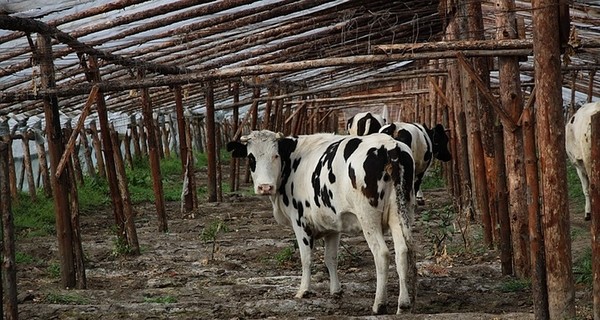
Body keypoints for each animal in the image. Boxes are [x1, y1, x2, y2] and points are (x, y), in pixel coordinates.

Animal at [227, 131, 414, 316]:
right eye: (251, 158)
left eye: (276, 155)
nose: (265, 187)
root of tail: (389, 145)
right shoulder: (332, 225)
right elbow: (330, 258)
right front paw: (336, 290)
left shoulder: (300, 222)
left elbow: (306, 258)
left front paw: (303, 290)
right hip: (399, 214)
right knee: (403, 252)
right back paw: (403, 304)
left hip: (368, 217)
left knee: (382, 254)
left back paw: (379, 304)